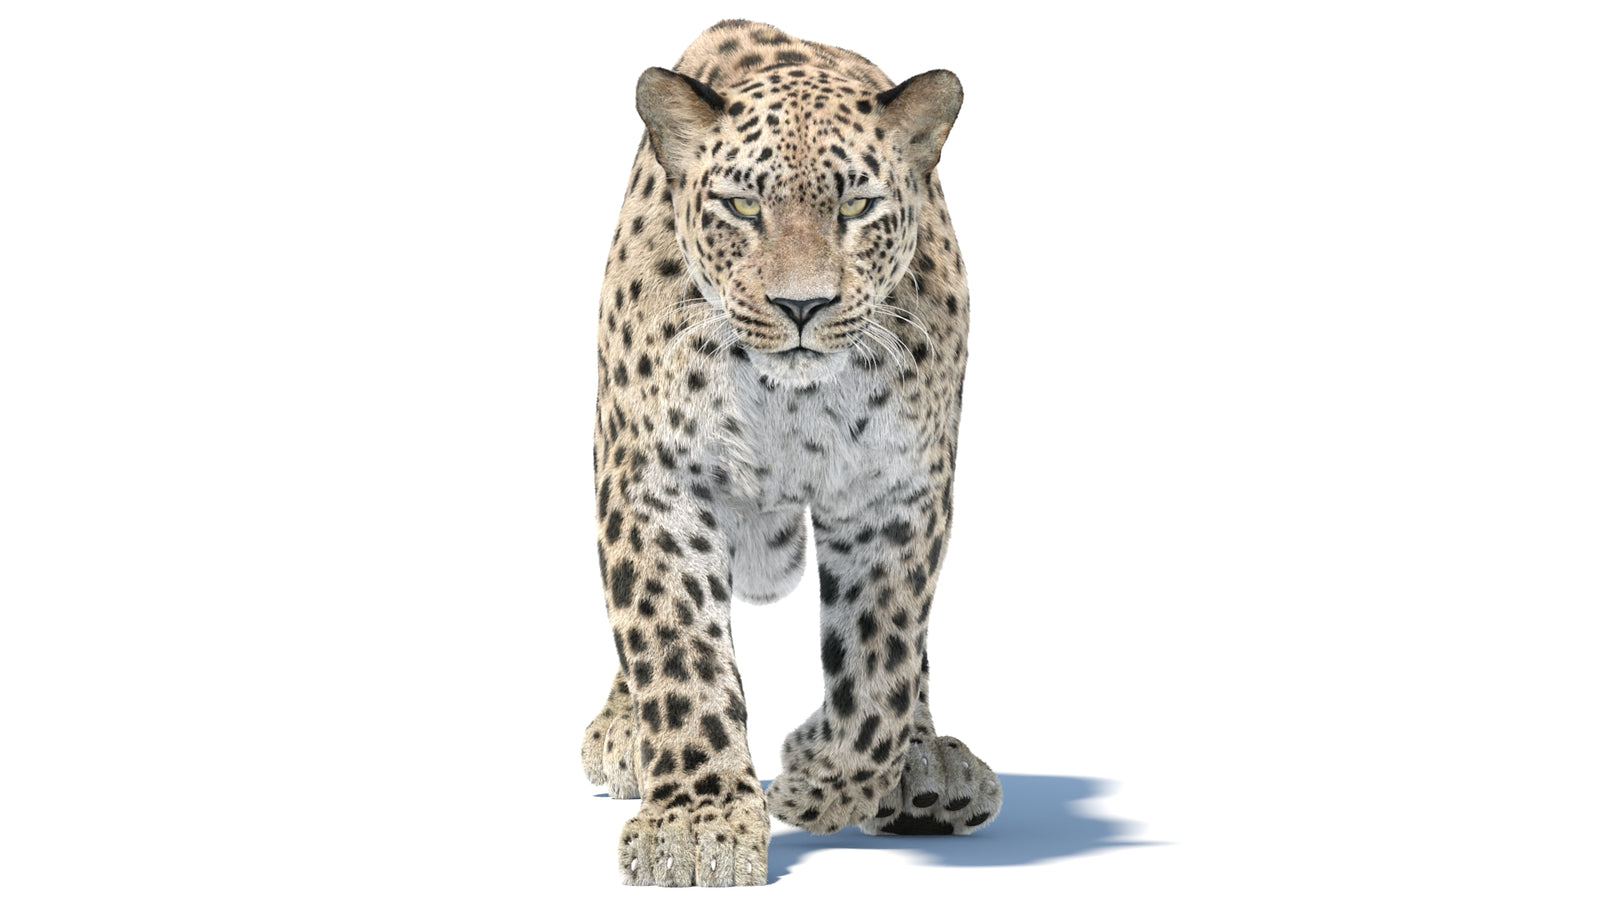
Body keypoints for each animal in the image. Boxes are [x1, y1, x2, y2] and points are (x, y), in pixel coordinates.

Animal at [579, 19, 1000, 886]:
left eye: (857, 206)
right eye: (743, 206)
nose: (801, 306)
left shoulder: (894, 496)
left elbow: (882, 670)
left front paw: (818, 779)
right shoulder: (657, 482)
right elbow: (676, 647)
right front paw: (697, 824)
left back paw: (929, 769)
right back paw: (622, 732)